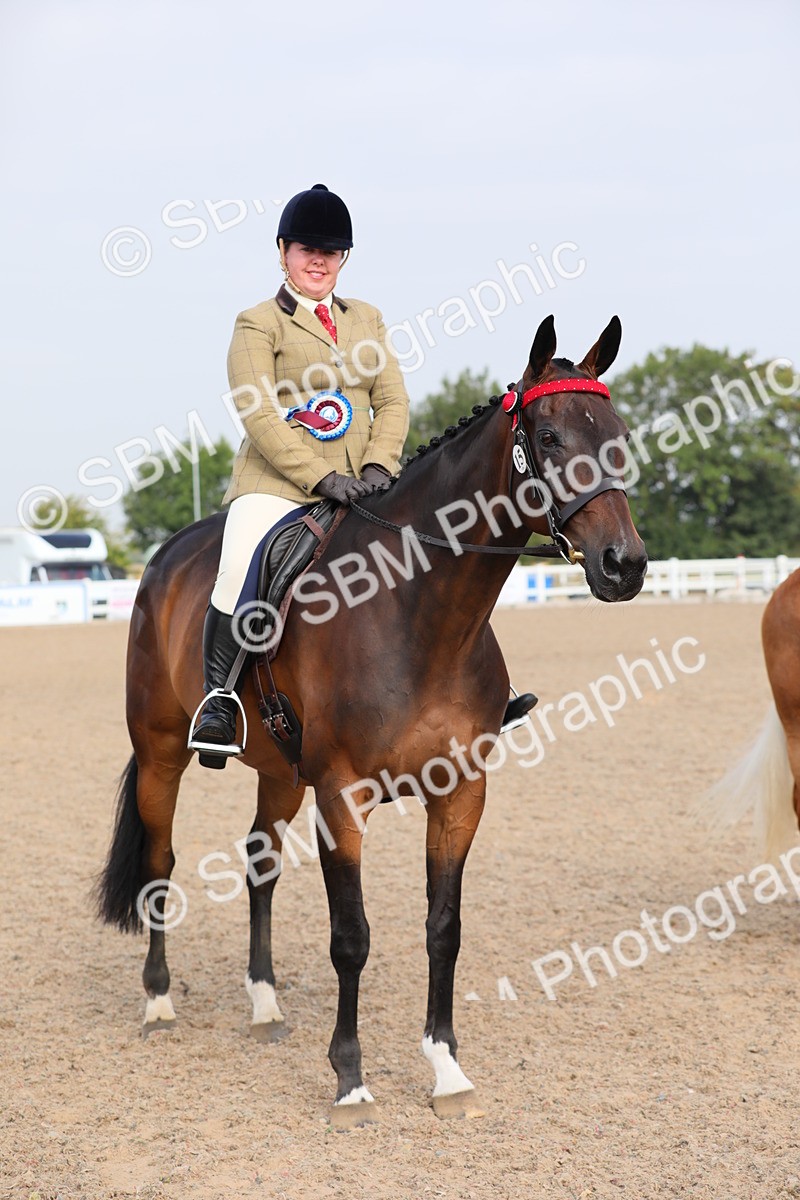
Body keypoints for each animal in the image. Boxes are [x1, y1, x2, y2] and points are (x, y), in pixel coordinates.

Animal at [96, 314, 648, 1125]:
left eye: (618, 434)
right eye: (548, 438)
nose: (624, 565)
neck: (418, 612)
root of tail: (165, 559)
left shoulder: (461, 792)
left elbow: (444, 929)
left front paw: (446, 1069)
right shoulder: (342, 796)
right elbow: (350, 937)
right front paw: (350, 1078)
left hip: (279, 771)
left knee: (259, 861)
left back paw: (264, 1005)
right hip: (164, 751)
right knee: (161, 862)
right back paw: (159, 1003)